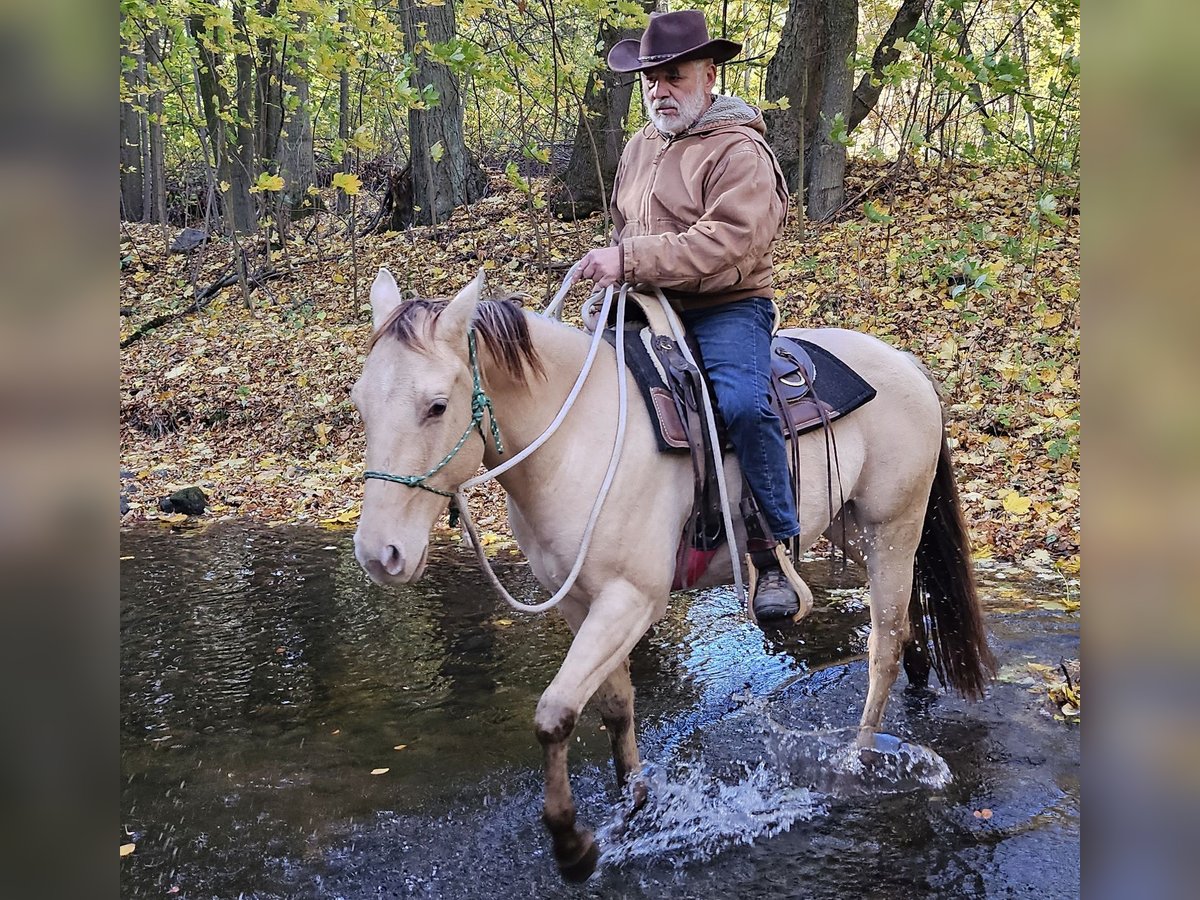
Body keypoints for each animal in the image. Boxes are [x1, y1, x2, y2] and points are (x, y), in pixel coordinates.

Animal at [351, 269, 995, 881]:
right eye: (360, 404)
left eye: (437, 405)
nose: (380, 554)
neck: (575, 437)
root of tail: (906, 363)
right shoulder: (578, 603)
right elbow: (615, 705)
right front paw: (633, 804)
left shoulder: (631, 601)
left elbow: (555, 714)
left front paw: (572, 847)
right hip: (856, 532)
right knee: (906, 617)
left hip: (893, 526)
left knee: (883, 644)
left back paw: (856, 758)